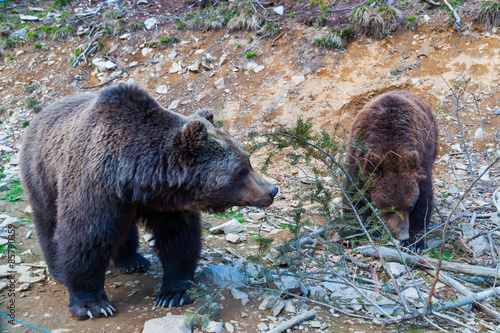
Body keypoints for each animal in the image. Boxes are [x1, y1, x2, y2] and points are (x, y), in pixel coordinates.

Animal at [19, 83, 280, 320]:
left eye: (248, 160)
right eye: (241, 170)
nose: (272, 190)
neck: (134, 179)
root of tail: (39, 115)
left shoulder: (165, 204)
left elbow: (179, 238)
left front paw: (173, 293)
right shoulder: (94, 186)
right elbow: (86, 236)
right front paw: (93, 304)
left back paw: (133, 261)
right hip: (41, 175)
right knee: (48, 222)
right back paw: (59, 269)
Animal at [344, 91, 438, 249]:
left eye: (410, 206)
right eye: (389, 208)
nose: (402, 234)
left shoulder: (421, 164)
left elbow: (423, 200)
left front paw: (414, 242)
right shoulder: (357, 159)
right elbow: (355, 196)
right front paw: (351, 234)